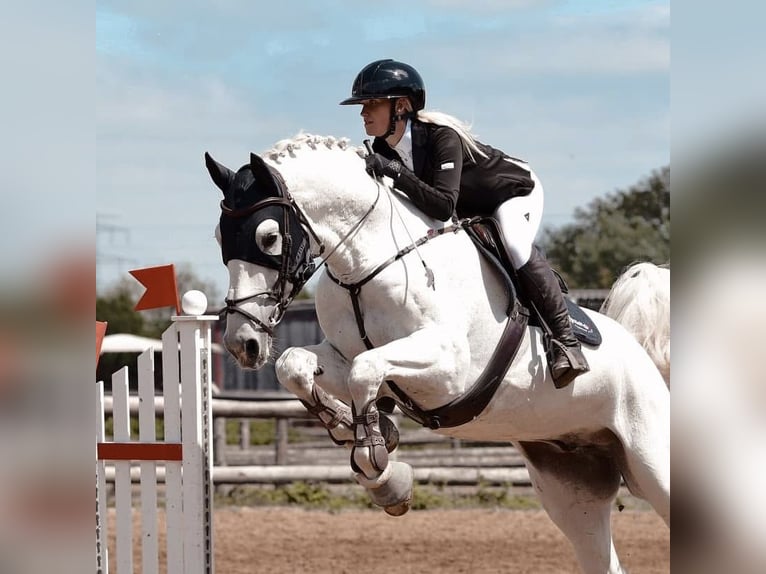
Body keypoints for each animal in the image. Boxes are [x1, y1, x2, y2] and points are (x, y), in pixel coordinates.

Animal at [206, 134, 672, 574]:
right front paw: (347, 427)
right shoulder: (341, 354)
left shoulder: (449, 370)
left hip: (652, 463)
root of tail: (644, 358)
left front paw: (376, 458)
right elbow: (296, 366)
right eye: (219, 238)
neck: (365, 266)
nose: (242, 343)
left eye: (268, 237)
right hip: (570, 486)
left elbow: (365, 371)